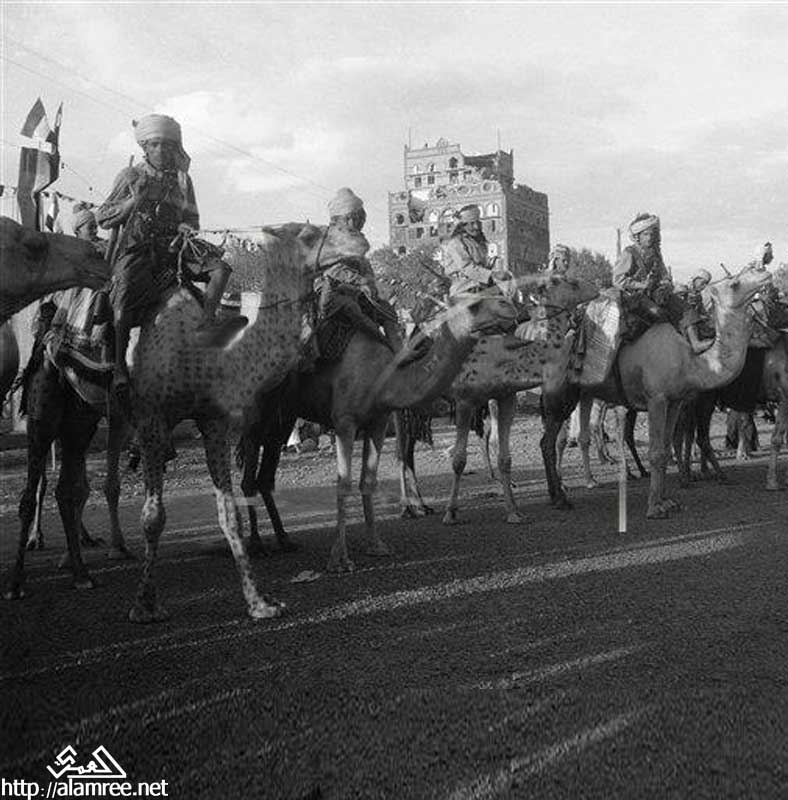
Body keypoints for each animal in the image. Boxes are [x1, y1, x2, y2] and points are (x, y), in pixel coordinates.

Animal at [237, 291, 518, 572]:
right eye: (472, 305)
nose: (508, 305)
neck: (381, 376)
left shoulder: (378, 422)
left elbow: (368, 481)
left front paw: (376, 545)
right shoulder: (345, 422)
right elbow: (343, 483)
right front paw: (339, 558)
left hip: (282, 418)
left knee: (265, 477)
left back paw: (284, 540)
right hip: (254, 413)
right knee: (248, 477)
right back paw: (257, 546)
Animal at [392, 273, 599, 524]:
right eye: (572, 283)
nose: (596, 288)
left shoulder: (506, 397)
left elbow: (505, 458)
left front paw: (513, 512)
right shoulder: (465, 401)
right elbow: (459, 460)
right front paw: (451, 512)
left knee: (408, 452)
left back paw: (421, 505)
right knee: (401, 452)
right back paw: (407, 508)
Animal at [539, 267, 772, 519]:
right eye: (734, 284)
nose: (763, 272)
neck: (690, 360)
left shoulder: (676, 401)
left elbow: (666, 447)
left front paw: (667, 501)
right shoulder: (657, 399)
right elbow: (657, 451)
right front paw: (654, 507)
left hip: (585, 393)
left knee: (576, 436)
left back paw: (578, 486)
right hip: (560, 393)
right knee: (549, 441)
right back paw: (560, 497)